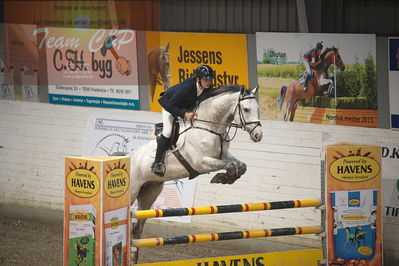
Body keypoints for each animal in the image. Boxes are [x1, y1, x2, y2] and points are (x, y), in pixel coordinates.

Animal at [130, 84, 264, 262]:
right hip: (132, 192)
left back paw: (133, 257)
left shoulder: (223, 155)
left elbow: (241, 166)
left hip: (149, 193)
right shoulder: (201, 163)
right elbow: (230, 165)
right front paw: (222, 177)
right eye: (246, 109)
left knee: (137, 227)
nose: (258, 135)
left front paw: (227, 178)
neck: (210, 128)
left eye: (258, 108)